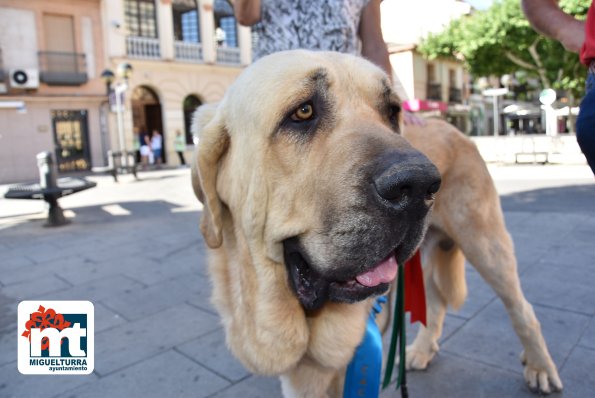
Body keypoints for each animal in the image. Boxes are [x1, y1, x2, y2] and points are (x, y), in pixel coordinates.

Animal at [192, 51, 564, 396]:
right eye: (303, 112)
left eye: (391, 112)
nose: (419, 186)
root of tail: (457, 130)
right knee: (437, 302)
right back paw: (423, 349)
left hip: (486, 244)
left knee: (522, 309)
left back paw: (540, 367)